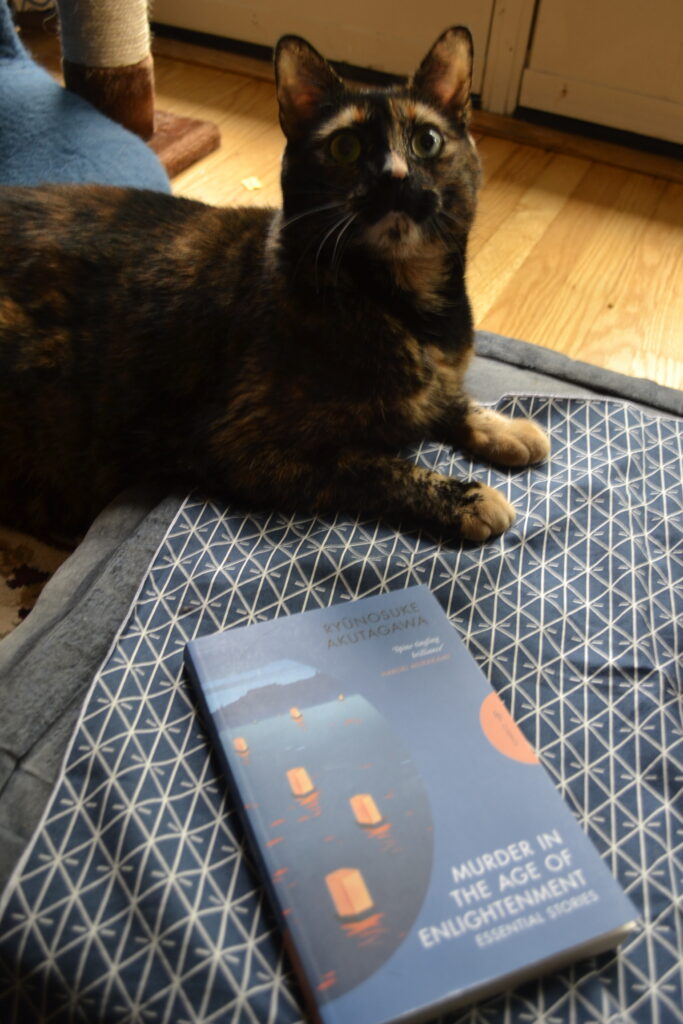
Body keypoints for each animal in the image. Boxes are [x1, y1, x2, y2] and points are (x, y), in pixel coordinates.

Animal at [0, 28, 548, 540]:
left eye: (426, 141)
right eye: (345, 146)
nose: (393, 176)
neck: (406, 304)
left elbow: (448, 397)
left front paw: (506, 429)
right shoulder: (241, 445)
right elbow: (372, 467)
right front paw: (468, 499)